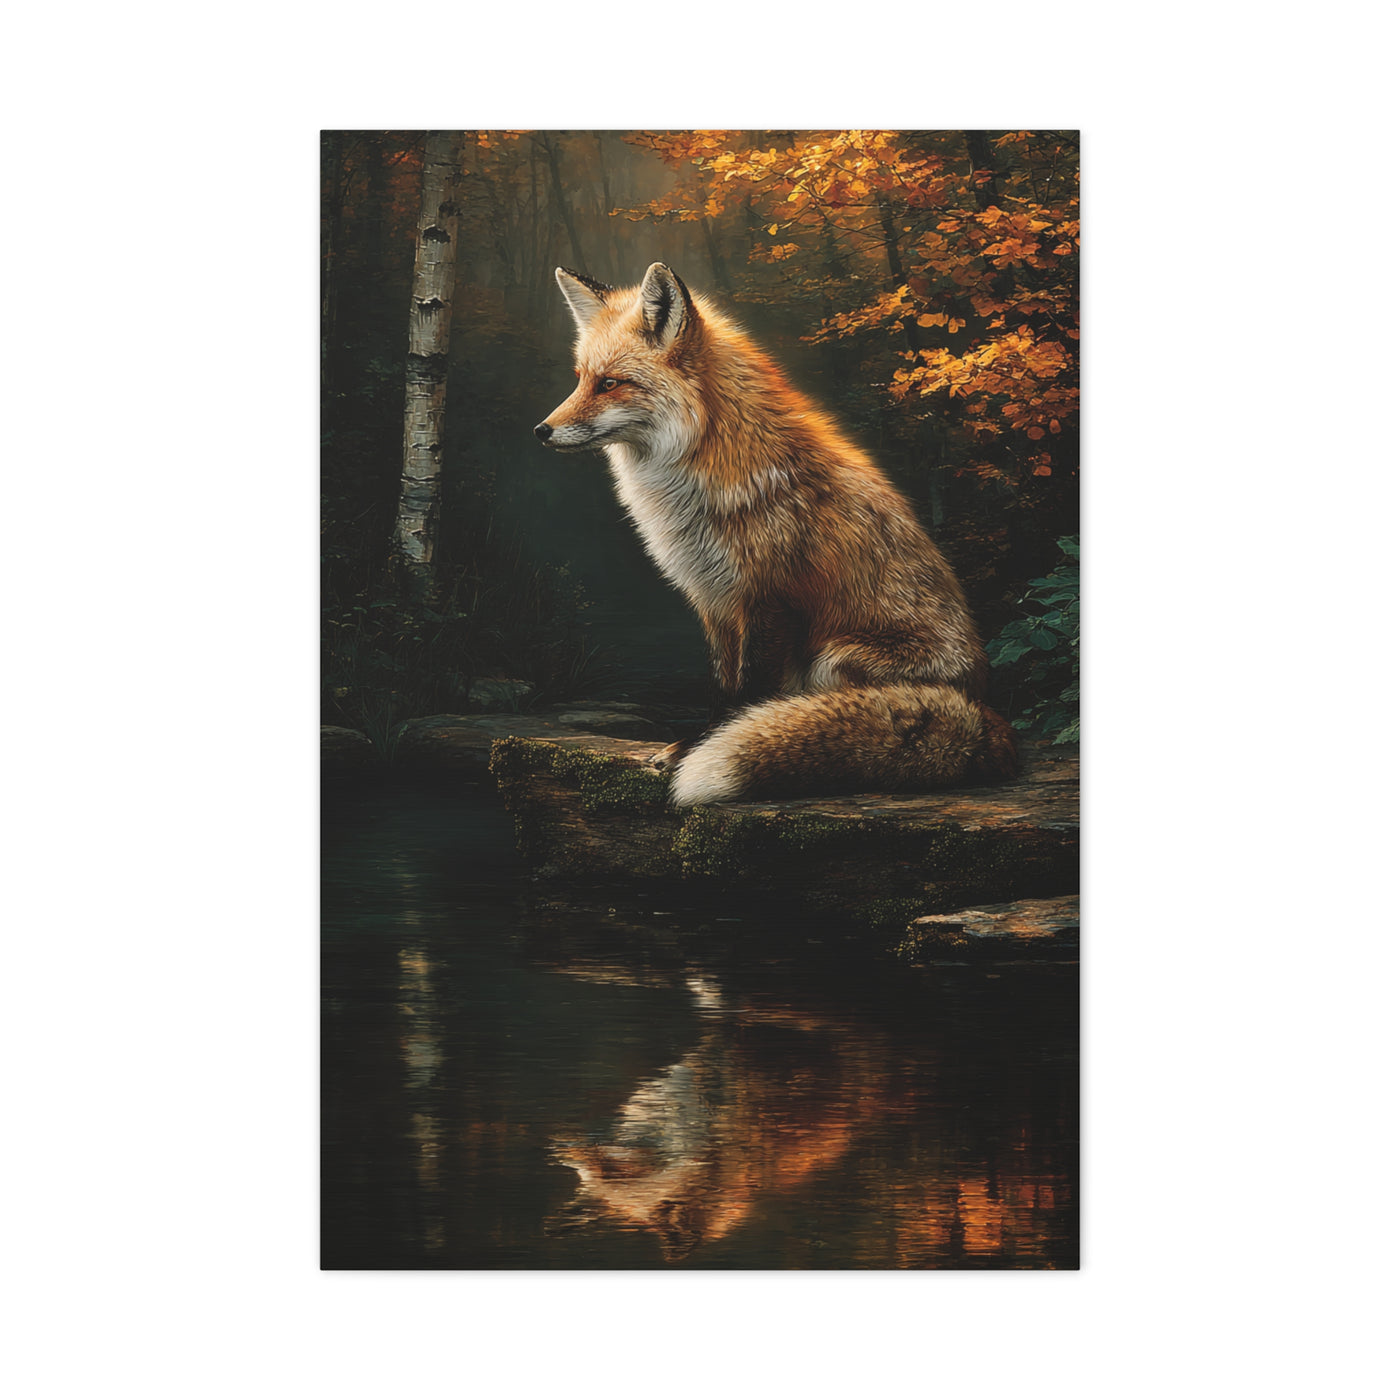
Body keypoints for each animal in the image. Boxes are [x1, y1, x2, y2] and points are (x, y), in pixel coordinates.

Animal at [535, 261, 1018, 807]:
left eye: (611, 383)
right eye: (581, 380)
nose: (541, 430)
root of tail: (982, 710)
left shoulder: (769, 598)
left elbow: (751, 689)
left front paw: (709, 744)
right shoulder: (713, 599)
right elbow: (723, 684)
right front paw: (697, 741)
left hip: (834, 658)